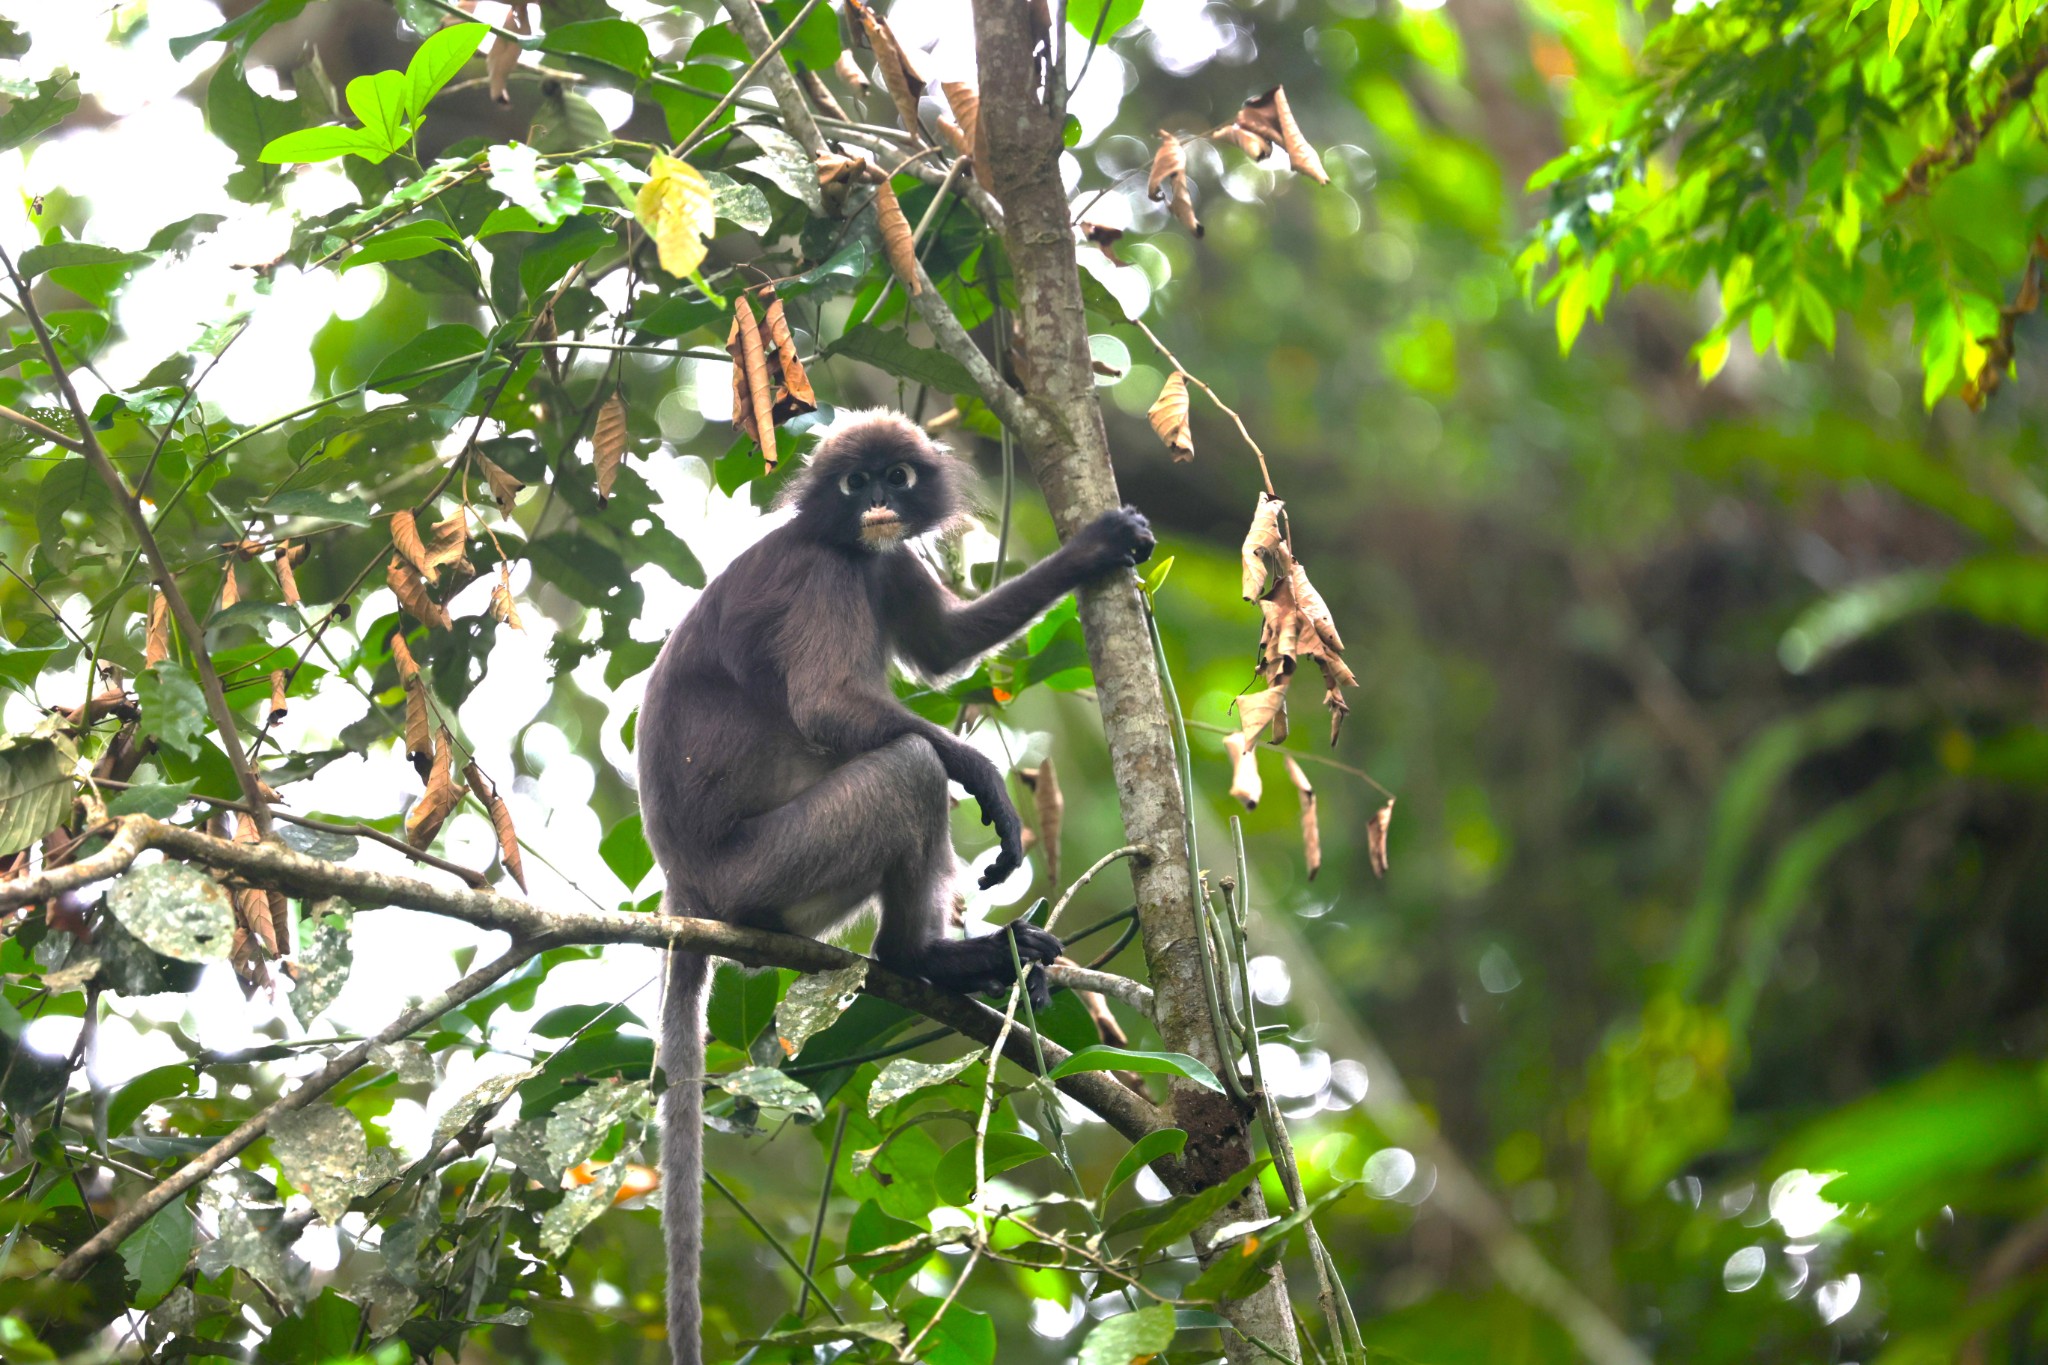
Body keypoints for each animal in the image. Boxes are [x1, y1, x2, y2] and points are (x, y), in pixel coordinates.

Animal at [638, 411, 1155, 1358]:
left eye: (896, 476)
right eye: (855, 483)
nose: (878, 501)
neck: (852, 545)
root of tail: (685, 888)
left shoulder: (886, 563)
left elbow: (945, 647)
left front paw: (1101, 545)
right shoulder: (827, 574)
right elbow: (827, 708)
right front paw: (985, 780)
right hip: (773, 861)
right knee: (909, 766)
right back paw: (925, 956)